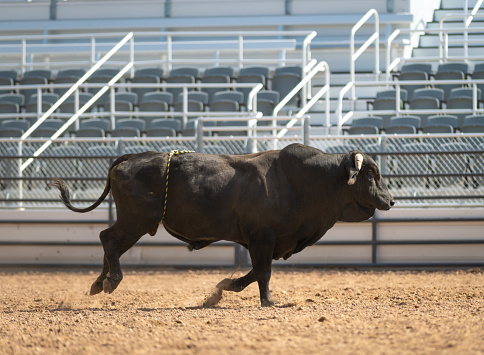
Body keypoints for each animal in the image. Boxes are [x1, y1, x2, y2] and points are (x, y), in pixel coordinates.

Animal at [49, 143, 396, 308]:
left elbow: (256, 272)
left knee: (108, 242)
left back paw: (98, 283)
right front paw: (266, 301)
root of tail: (132, 158)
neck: (301, 181)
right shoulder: (261, 238)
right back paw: (110, 281)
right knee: (108, 239)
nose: (391, 201)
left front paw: (227, 288)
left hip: (134, 221)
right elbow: (263, 272)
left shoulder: (264, 242)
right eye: (371, 174)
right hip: (136, 220)